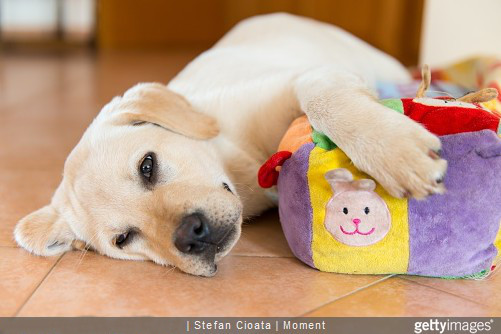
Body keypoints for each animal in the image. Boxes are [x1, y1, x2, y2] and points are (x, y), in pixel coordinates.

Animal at [15, 13, 446, 276]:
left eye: (147, 166)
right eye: (123, 239)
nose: (191, 235)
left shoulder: (307, 77)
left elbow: (324, 103)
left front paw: (396, 152)